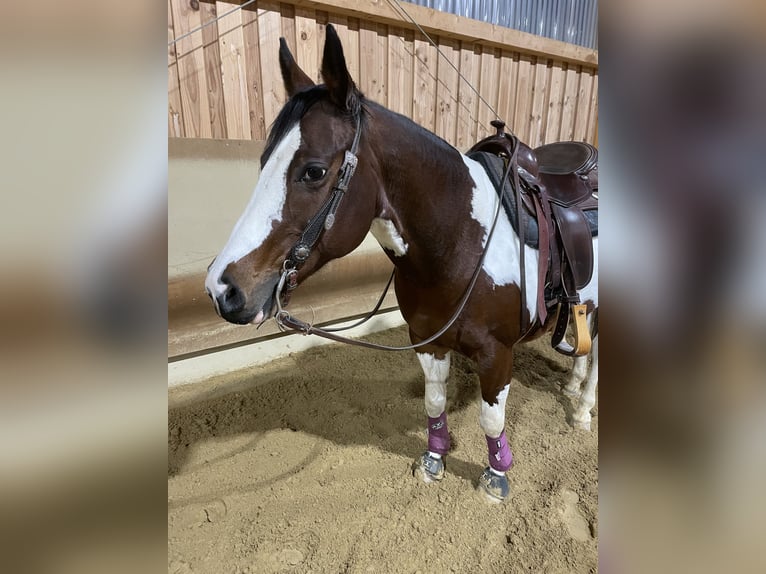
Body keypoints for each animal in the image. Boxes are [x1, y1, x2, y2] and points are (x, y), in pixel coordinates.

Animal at [204, 25, 598, 503]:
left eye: (314, 171)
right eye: (263, 162)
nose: (222, 288)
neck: (460, 243)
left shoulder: (496, 354)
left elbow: (491, 419)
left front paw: (496, 477)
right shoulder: (428, 341)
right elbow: (434, 401)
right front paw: (434, 459)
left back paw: (582, 410)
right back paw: (572, 386)